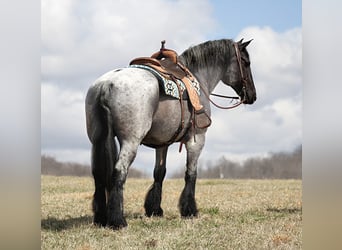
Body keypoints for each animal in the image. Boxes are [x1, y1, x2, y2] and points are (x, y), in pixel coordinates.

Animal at [85, 38, 256, 229]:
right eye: (246, 62)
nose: (252, 95)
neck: (199, 78)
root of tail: (106, 85)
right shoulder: (197, 139)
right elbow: (191, 173)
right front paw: (189, 210)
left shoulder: (162, 143)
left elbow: (159, 173)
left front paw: (154, 209)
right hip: (130, 142)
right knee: (118, 172)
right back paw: (117, 220)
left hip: (97, 140)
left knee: (98, 174)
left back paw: (101, 217)